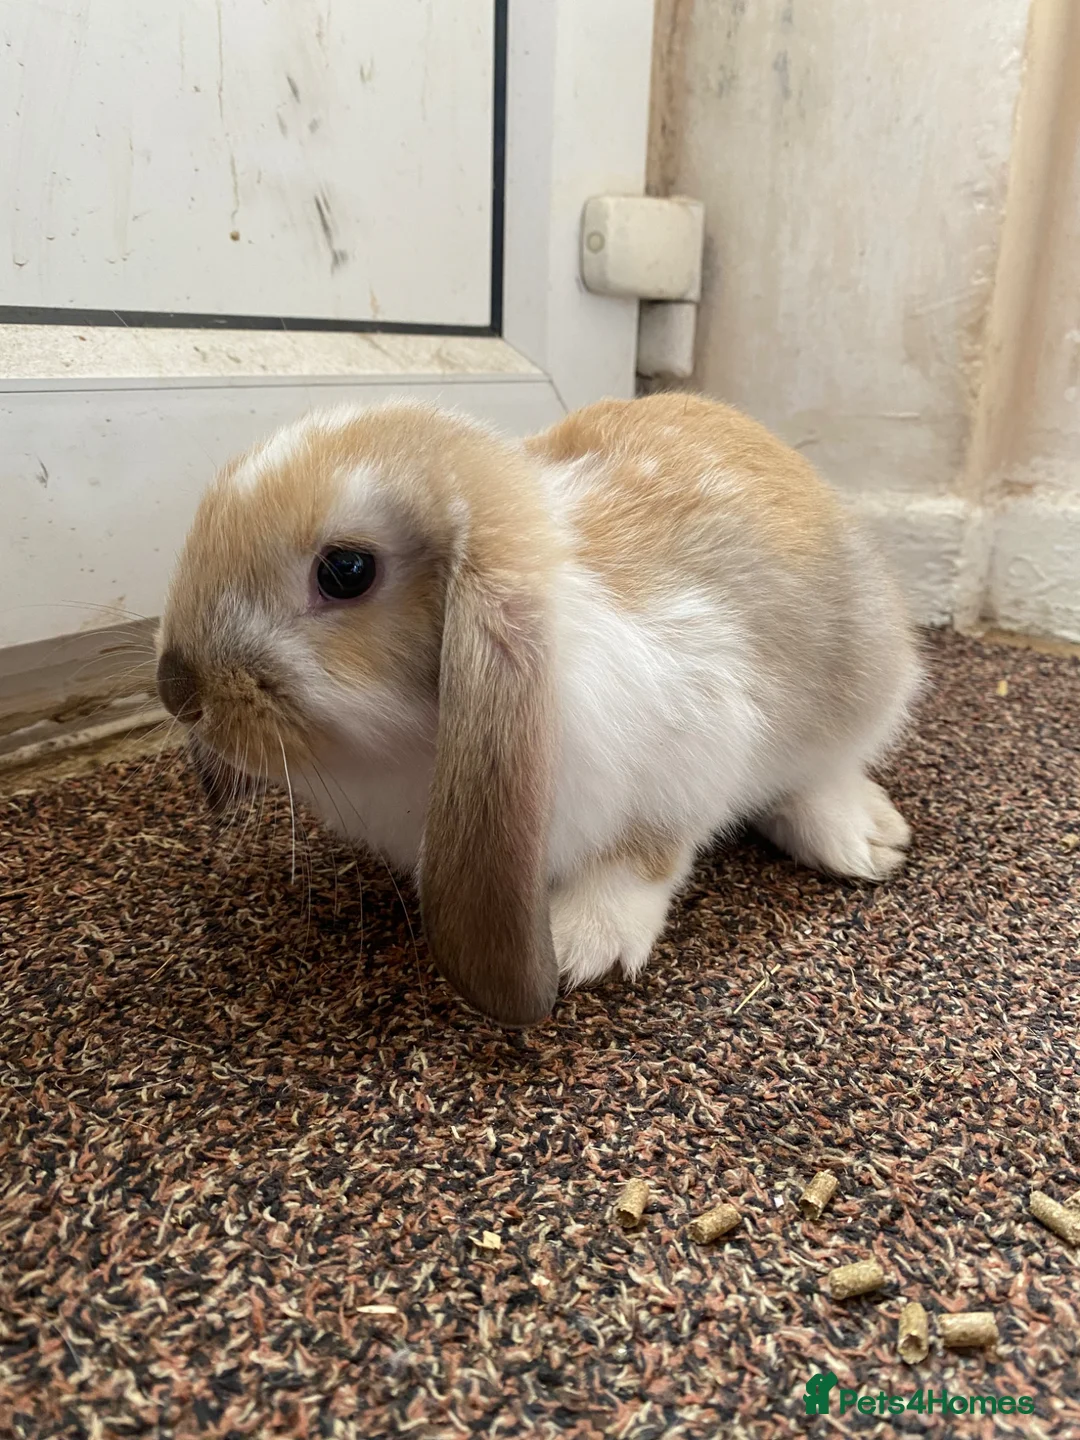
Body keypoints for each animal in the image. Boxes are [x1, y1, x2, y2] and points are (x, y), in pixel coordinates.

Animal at [156, 392, 922, 1026]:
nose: (175, 690)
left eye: (346, 571)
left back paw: (864, 841)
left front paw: (583, 942)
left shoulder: (697, 748)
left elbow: (646, 853)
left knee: (820, 773)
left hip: (866, 689)